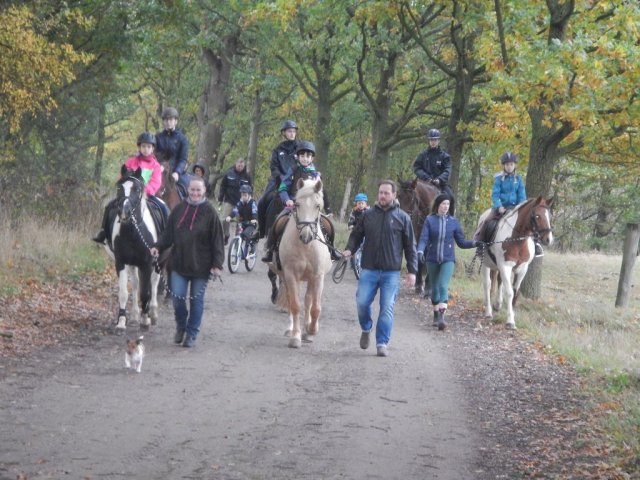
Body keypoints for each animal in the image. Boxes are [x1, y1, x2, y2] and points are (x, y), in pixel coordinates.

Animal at [105, 166, 161, 334]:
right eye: (119, 188)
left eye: (137, 189)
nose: (124, 211)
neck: (132, 231)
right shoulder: (121, 262)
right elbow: (124, 292)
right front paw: (121, 322)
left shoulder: (147, 264)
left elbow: (146, 291)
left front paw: (145, 320)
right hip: (133, 264)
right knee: (136, 283)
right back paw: (136, 315)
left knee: (154, 283)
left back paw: (152, 314)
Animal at [269, 178, 333, 348]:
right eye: (297, 204)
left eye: (317, 206)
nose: (306, 235)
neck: (305, 246)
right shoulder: (291, 275)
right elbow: (295, 305)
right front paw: (295, 337)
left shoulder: (318, 276)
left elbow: (315, 308)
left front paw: (311, 331)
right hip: (287, 277)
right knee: (292, 299)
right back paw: (291, 329)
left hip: (310, 279)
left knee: (309, 300)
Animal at [477, 196, 554, 329]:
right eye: (537, 216)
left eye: (549, 216)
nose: (548, 239)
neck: (517, 241)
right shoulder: (505, 267)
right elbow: (509, 293)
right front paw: (510, 321)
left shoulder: (522, 269)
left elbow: (515, 292)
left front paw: (511, 314)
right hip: (485, 264)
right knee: (487, 285)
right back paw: (488, 312)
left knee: (499, 281)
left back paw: (497, 304)